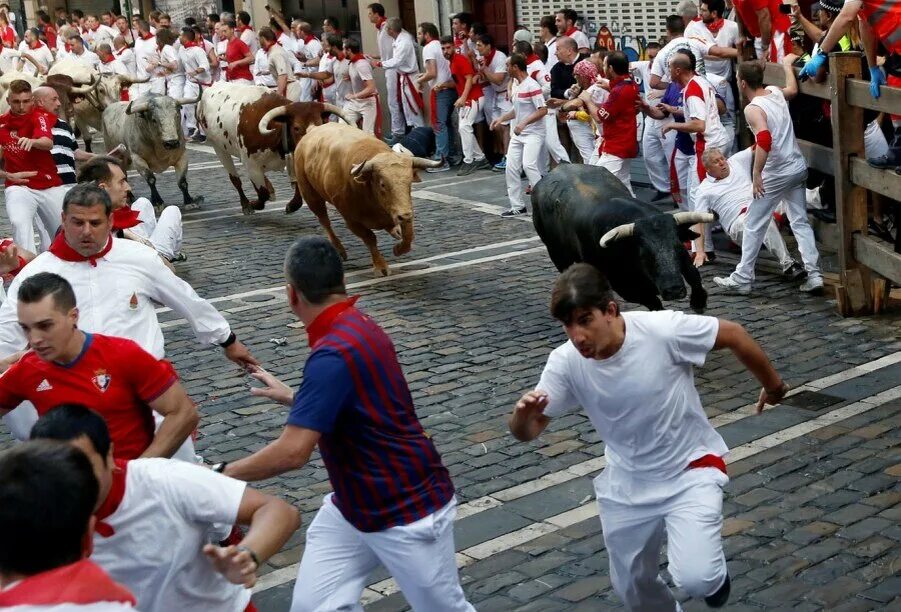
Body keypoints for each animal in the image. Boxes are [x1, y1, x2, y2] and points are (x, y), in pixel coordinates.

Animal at [197, 81, 352, 215]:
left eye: (320, 124)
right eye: (297, 128)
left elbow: (297, 192)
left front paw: (291, 205)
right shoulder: (251, 166)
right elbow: (262, 193)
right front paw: (255, 203)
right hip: (218, 148)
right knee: (235, 179)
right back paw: (246, 204)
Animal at [532, 165, 712, 314]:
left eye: (677, 246)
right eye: (644, 254)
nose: (674, 290)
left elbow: (694, 275)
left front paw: (699, 301)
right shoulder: (625, 286)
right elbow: (654, 303)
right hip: (558, 256)